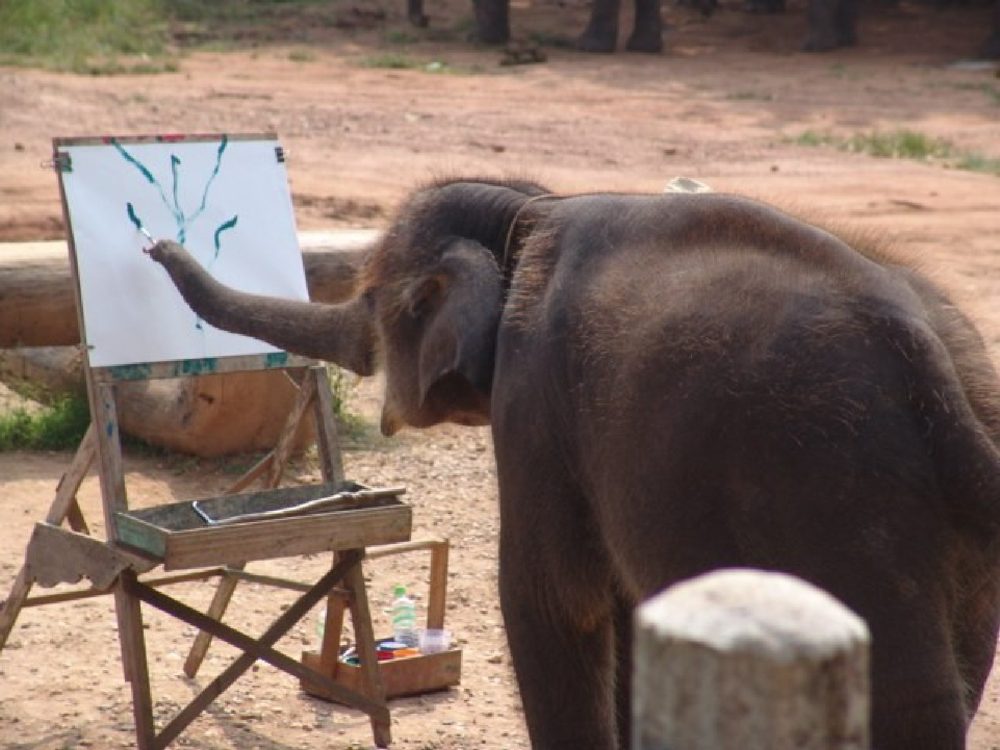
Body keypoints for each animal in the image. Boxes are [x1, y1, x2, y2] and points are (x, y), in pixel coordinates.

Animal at [147, 179, 1000, 749]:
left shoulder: (537, 402)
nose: (153, 244)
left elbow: (554, 600)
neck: (532, 209)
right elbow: (623, 610)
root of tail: (933, 374)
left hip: (836, 492)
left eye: (380, 303)